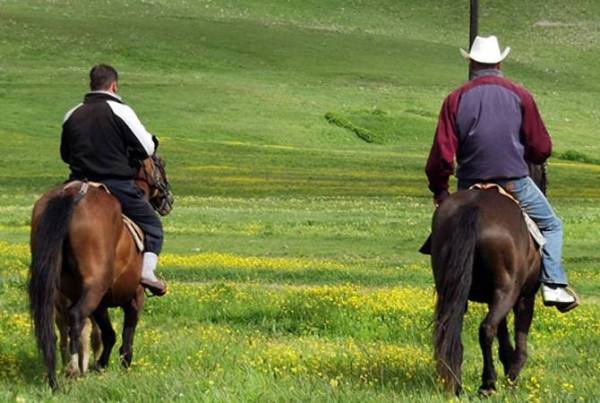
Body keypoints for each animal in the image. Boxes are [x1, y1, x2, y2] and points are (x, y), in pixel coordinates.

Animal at [29, 154, 172, 388]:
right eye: (161, 164)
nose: (168, 200)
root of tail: (74, 193)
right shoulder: (135, 298)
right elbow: (125, 337)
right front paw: (122, 366)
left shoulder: (101, 303)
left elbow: (107, 334)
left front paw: (100, 365)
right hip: (94, 288)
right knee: (76, 318)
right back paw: (73, 369)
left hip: (57, 290)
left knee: (55, 328)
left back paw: (56, 377)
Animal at [426, 165, 548, 398]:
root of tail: (474, 208)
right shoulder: (525, 298)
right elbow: (518, 339)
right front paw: (512, 375)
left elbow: (503, 333)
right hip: (507, 291)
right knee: (486, 329)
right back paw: (488, 383)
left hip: (452, 290)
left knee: (451, 330)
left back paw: (456, 385)